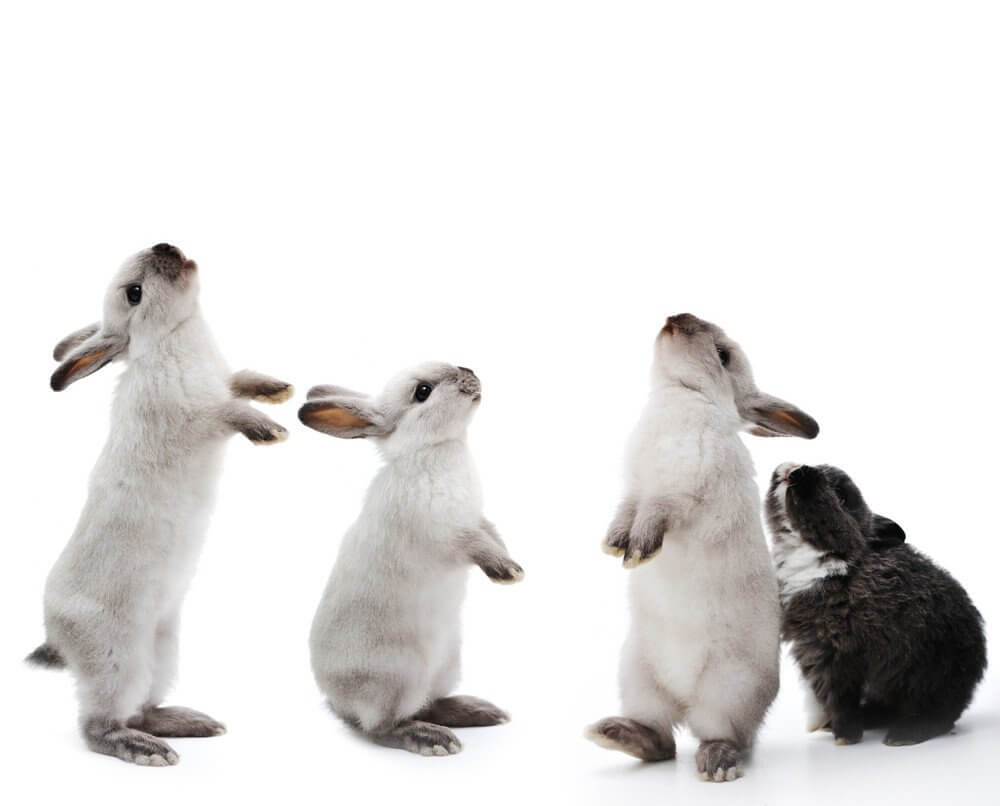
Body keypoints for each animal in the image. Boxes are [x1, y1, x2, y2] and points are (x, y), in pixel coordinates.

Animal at [26, 243, 293, 766]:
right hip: (118, 659)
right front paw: (271, 431)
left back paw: (191, 723)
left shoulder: (224, 382)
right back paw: (146, 751)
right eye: (134, 293)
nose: (166, 247)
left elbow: (242, 380)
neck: (174, 334)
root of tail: (56, 634)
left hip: (163, 651)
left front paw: (279, 390)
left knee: (142, 708)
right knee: (98, 725)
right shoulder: (199, 416)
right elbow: (231, 410)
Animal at [299, 363, 523, 756]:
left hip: (446, 666)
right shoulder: (447, 533)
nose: (469, 370)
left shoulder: (477, 518)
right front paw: (508, 572)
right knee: (381, 727)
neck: (436, 449)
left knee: (429, 704)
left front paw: (512, 565)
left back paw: (478, 711)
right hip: (398, 679)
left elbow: (493, 535)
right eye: (422, 392)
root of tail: (338, 700)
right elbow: (478, 545)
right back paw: (433, 739)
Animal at [585, 313, 819, 783]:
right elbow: (626, 511)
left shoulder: (680, 493)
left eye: (722, 354)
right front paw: (614, 545)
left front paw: (640, 550)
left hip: (726, 690)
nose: (676, 318)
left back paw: (718, 764)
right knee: (660, 741)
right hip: (637, 676)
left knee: (718, 735)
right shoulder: (634, 489)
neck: (682, 394)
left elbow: (656, 513)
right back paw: (616, 733)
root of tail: (683, 700)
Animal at [764, 462, 987, 746]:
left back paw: (902, 736)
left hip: (929, 676)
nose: (796, 469)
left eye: (841, 496)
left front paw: (845, 737)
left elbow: (838, 698)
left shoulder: (834, 653)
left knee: (939, 714)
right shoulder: (812, 652)